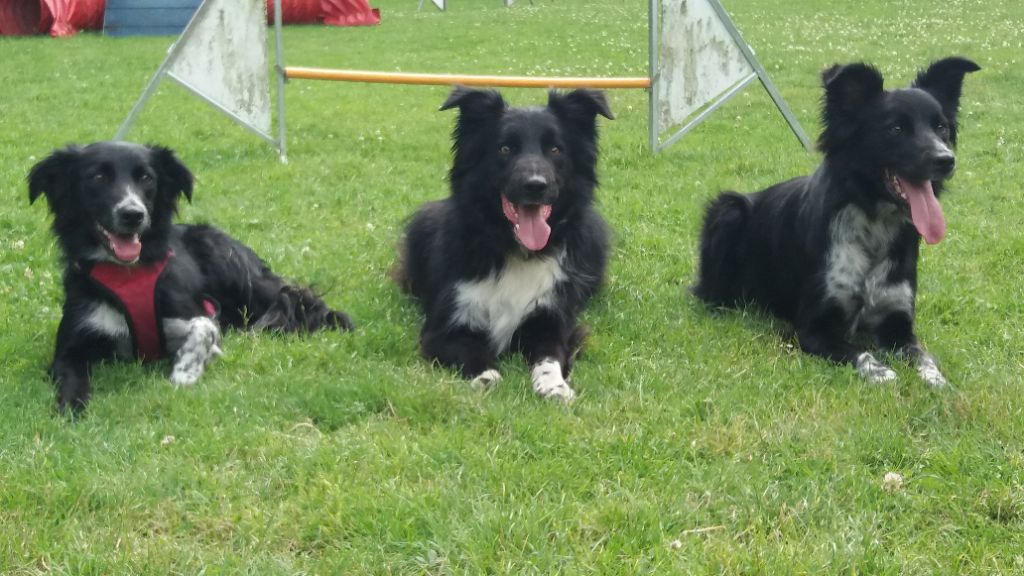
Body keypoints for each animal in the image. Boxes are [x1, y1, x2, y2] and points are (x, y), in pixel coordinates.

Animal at [29, 142, 356, 412]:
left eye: (146, 178)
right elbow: (69, 375)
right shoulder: (72, 344)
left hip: (232, 267)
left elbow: (204, 327)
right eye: (97, 177)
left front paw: (185, 372)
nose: (133, 214)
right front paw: (71, 407)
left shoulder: (194, 311)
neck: (128, 272)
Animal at [395, 86, 610, 399]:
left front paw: (554, 385)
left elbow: (550, 355)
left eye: (555, 149)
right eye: (505, 149)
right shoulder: (445, 327)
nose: (536, 185)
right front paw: (487, 377)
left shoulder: (551, 318)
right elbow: (470, 350)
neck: (514, 250)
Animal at [692, 57, 978, 385]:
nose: (946, 160)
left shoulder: (898, 322)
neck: (873, 224)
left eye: (941, 127)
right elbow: (861, 353)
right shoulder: (813, 328)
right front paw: (883, 374)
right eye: (895, 128)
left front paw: (936, 380)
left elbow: (922, 355)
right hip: (727, 209)